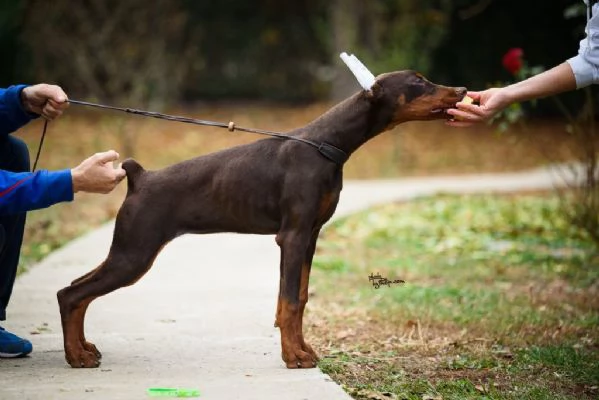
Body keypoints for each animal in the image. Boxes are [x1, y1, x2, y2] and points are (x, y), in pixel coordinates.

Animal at [57, 71, 468, 368]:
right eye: (419, 82)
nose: (463, 89)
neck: (328, 143)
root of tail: (140, 176)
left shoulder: (311, 236)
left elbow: (299, 298)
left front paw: (303, 349)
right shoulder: (293, 235)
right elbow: (288, 301)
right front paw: (294, 357)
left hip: (129, 251)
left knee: (76, 291)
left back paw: (84, 349)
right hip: (135, 251)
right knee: (71, 293)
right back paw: (76, 356)